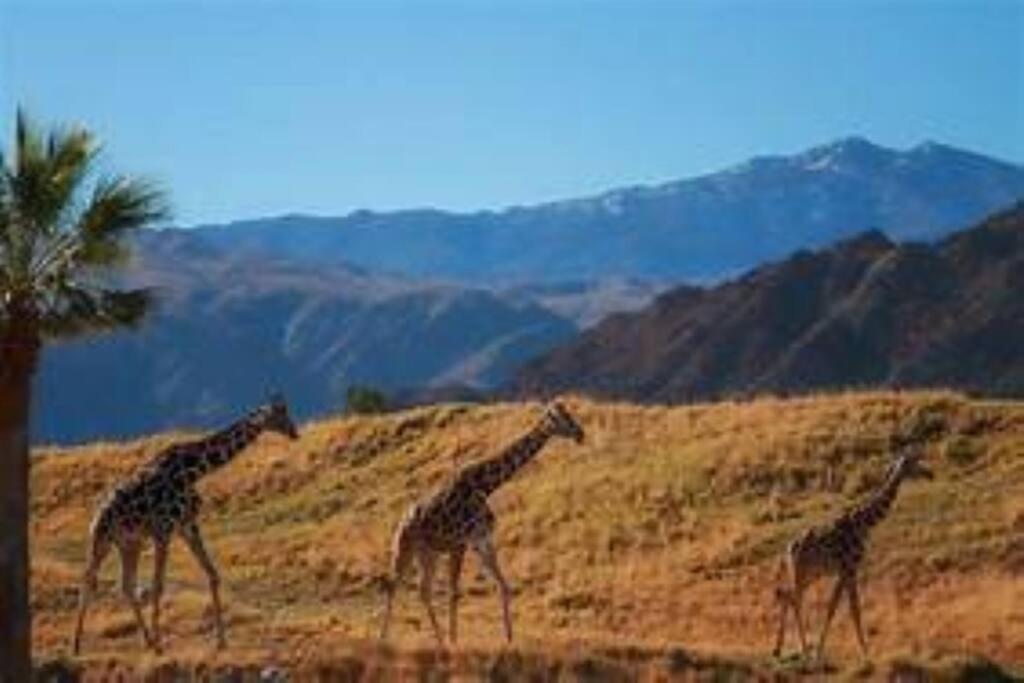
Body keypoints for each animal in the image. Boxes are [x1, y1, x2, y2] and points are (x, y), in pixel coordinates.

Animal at [69, 395, 296, 655]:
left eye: (286, 412)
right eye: (279, 414)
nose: (294, 432)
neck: (194, 470)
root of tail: (98, 512)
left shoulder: (187, 525)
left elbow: (212, 574)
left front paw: (221, 641)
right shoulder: (163, 530)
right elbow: (158, 585)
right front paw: (161, 645)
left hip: (129, 542)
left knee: (126, 584)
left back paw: (145, 640)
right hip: (102, 539)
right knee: (87, 580)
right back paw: (76, 646)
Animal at [378, 397, 585, 643]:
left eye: (569, 414)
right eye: (561, 418)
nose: (580, 434)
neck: (486, 486)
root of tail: (402, 521)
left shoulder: (482, 541)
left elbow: (502, 584)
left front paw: (508, 638)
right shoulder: (461, 543)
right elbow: (454, 592)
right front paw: (455, 640)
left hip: (429, 553)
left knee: (423, 590)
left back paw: (438, 640)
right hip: (405, 547)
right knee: (393, 585)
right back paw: (384, 639)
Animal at [774, 444, 937, 663]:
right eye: (914, 462)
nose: (930, 473)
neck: (864, 523)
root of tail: (787, 550)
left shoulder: (846, 571)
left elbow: (837, 608)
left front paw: (825, 650)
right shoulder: (849, 568)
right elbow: (851, 609)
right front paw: (864, 653)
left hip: (810, 575)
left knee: (787, 595)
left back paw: (779, 650)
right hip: (801, 572)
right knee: (794, 599)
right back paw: (803, 650)